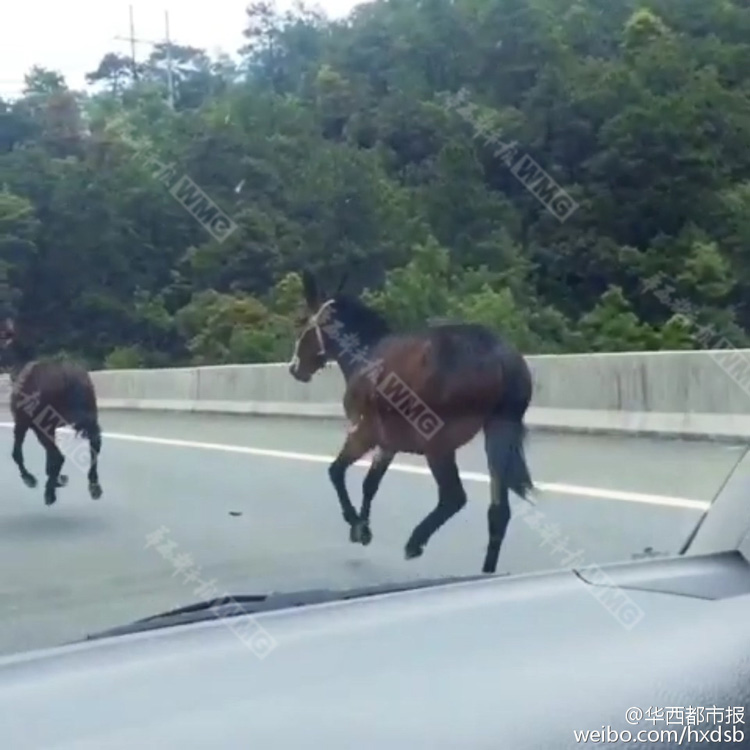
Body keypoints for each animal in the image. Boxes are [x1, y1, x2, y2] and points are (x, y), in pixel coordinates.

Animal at [0, 320, 103, 508]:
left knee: (58, 455)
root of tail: (68, 377)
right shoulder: (50, 426)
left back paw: (49, 493)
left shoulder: (24, 422)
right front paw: (56, 479)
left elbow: (17, 453)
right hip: (89, 415)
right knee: (94, 444)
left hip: (42, 424)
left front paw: (30, 479)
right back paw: (93, 484)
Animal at [288, 270, 536, 576]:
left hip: (438, 441)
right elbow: (370, 483)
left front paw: (356, 525)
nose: (294, 368)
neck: (364, 354)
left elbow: (336, 472)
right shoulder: (388, 441)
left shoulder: (364, 432)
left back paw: (415, 541)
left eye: (302, 321)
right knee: (498, 512)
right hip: (497, 431)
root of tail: (502, 358)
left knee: (454, 496)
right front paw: (363, 528)